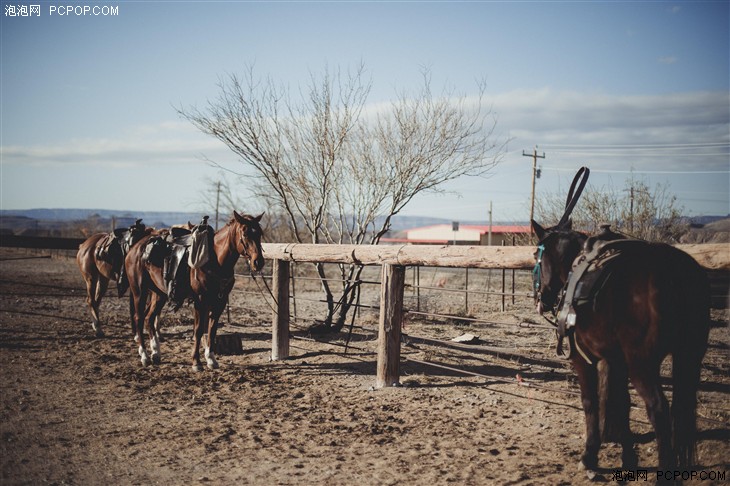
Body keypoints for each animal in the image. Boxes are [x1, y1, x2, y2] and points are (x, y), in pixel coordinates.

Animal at [125, 212, 264, 368]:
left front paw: (211, 359)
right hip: (139, 291)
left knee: (149, 317)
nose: (258, 262)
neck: (215, 259)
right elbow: (198, 330)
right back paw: (144, 355)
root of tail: (135, 248)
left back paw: (156, 353)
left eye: (259, 233)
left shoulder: (220, 301)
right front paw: (196, 362)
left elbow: (212, 330)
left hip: (158, 294)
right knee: (139, 318)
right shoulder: (200, 300)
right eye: (245, 233)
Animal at [532, 218, 708, 476]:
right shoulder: (616, 360)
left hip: (642, 366)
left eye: (536, 255)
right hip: (688, 357)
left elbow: (591, 401)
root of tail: (675, 271)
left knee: (659, 411)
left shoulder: (583, 359)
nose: (541, 300)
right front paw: (628, 457)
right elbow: (621, 403)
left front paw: (589, 455)